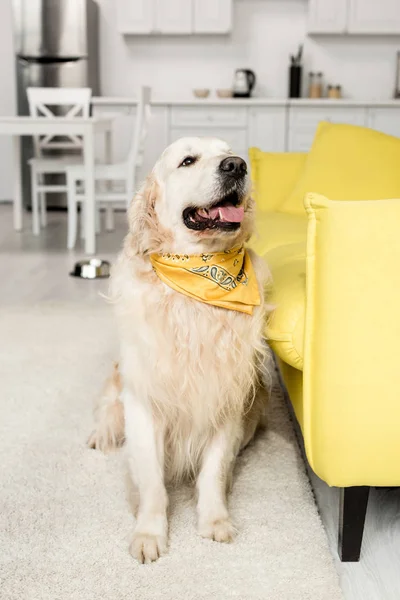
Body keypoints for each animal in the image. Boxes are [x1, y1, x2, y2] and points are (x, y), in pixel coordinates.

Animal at [89, 138, 272, 564]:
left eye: (230, 153)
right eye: (187, 161)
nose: (236, 165)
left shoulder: (226, 399)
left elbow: (214, 472)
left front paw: (214, 520)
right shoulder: (144, 401)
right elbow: (152, 482)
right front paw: (149, 533)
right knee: (108, 406)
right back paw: (101, 432)